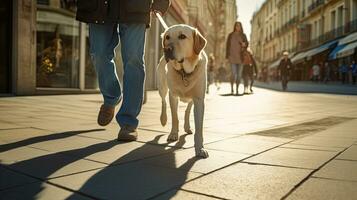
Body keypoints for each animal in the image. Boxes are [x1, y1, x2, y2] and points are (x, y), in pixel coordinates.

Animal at [156, 24, 209, 158]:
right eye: (167, 37)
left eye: (182, 36)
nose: (166, 49)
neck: (184, 73)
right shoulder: (173, 96)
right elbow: (175, 117)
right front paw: (173, 134)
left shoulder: (199, 99)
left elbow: (199, 128)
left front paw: (200, 148)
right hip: (162, 87)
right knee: (163, 101)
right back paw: (163, 119)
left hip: (192, 98)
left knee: (187, 109)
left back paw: (187, 126)